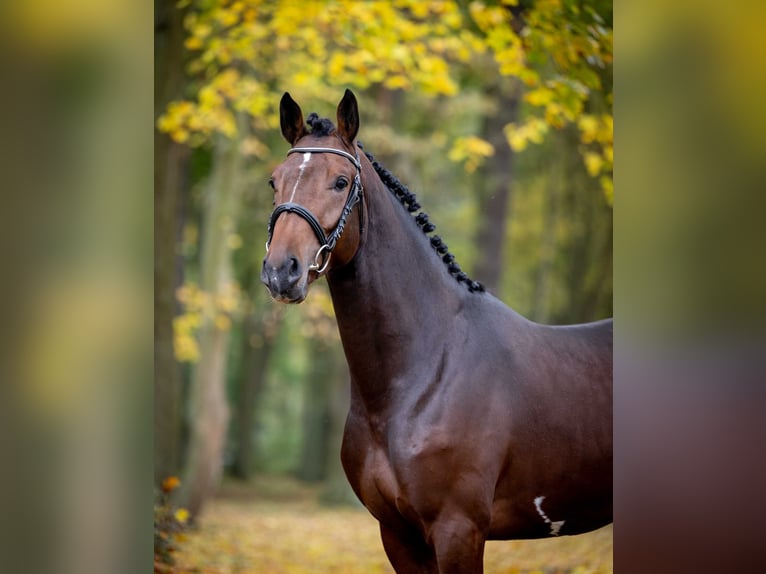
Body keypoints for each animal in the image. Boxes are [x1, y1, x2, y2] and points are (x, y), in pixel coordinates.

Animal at [261, 89, 612, 573]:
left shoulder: (458, 530)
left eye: (340, 182)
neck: (425, 371)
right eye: (274, 182)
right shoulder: (398, 535)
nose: (281, 271)